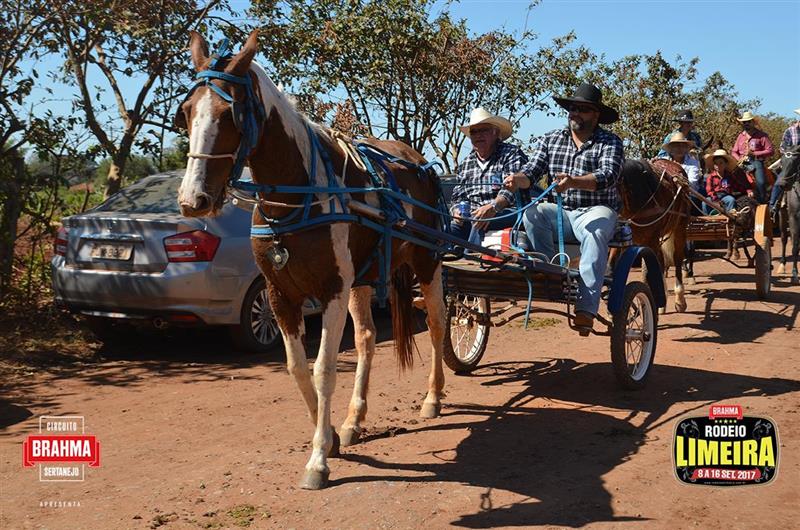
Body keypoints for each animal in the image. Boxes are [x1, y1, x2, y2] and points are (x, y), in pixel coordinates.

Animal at [175, 30, 448, 490]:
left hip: (426, 263)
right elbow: (297, 369)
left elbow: (323, 370)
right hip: (363, 277)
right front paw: (333, 435)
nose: (194, 200)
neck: (299, 197)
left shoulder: (332, 290)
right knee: (368, 338)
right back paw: (355, 419)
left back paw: (433, 396)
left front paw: (319, 459)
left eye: (230, 114)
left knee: (436, 321)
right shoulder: (280, 295)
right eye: (187, 111)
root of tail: (417, 161)